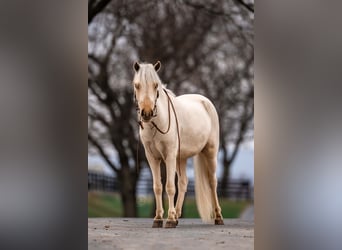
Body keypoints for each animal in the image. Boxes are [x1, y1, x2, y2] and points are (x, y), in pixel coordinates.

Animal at [132, 61, 224, 229]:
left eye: (156, 85)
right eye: (137, 85)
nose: (147, 113)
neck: (157, 124)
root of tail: (205, 101)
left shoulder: (169, 156)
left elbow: (169, 186)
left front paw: (169, 219)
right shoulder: (152, 158)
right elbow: (157, 187)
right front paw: (158, 218)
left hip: (210, 152)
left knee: (212, 182)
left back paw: (218, 217)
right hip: (181, 158)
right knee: (183, 183)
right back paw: (177, 215)